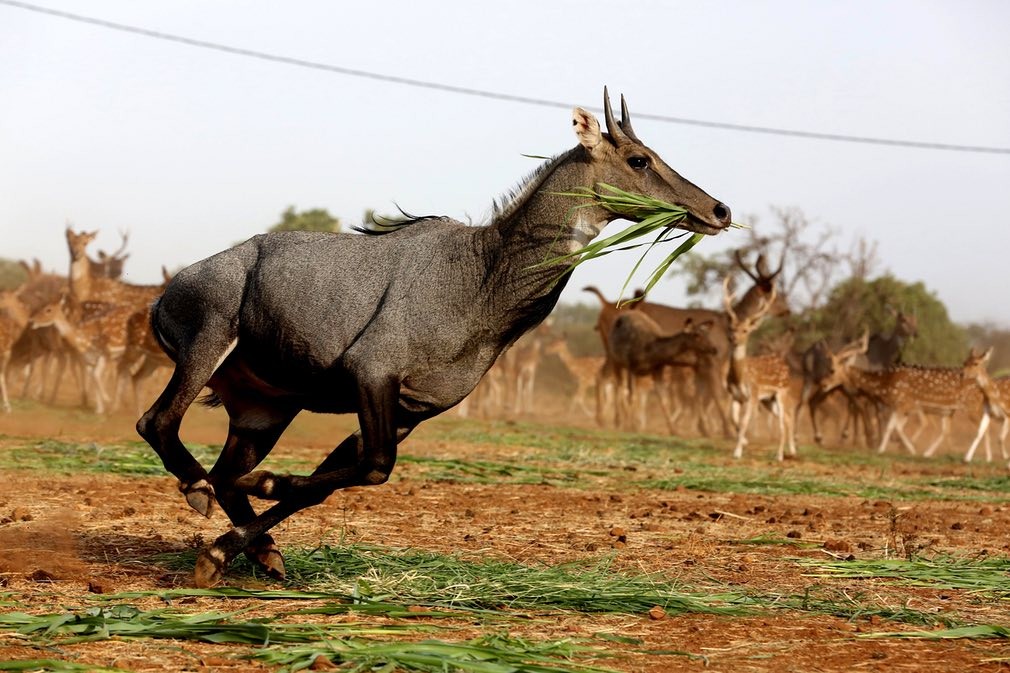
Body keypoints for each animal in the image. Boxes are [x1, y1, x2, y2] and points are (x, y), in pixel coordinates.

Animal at [136, 88, 735, 582]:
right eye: (639, 159)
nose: (719, 209)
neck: (480, 277)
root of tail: (164, 294)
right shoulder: (371, 373)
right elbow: (372, 469)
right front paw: (259, 494)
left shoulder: (411, 410)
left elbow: (336, 480)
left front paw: (223, 550)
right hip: (209, 340)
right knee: (158, 423)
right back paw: (198, 489)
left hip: (265, 409)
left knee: (224, 467)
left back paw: (256, 546)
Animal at [727, 274, 795, 458]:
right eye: (732, 328)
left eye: (745, 331)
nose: (733, 339)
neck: (739, 378)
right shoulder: (735, 396)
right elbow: (734, 420)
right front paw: (743, 443)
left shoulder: (753, 394)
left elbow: (744, 422)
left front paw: (737, 452)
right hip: (769, 400)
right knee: (786, 418)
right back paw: (790, 451)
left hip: (782, 393)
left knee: (784, 420)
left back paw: (780, 455)